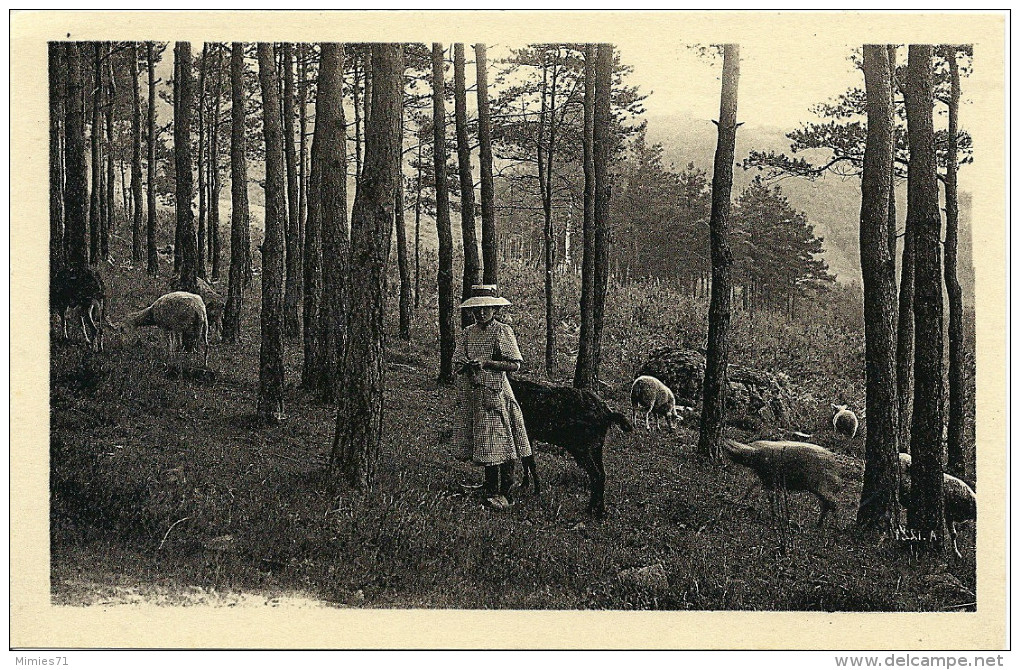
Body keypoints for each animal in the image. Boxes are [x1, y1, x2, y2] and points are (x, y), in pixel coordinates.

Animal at [503, 375, 628, 518]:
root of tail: (607, 414)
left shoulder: (526, 433)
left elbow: (529, 462)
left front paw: (535, 490)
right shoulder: (528, 436)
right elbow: (527, 461)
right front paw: (526, 485)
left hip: (581, 447)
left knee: (596, 475)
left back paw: (590, 509)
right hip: (597, 447)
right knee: (602, 474)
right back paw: (600, 510)